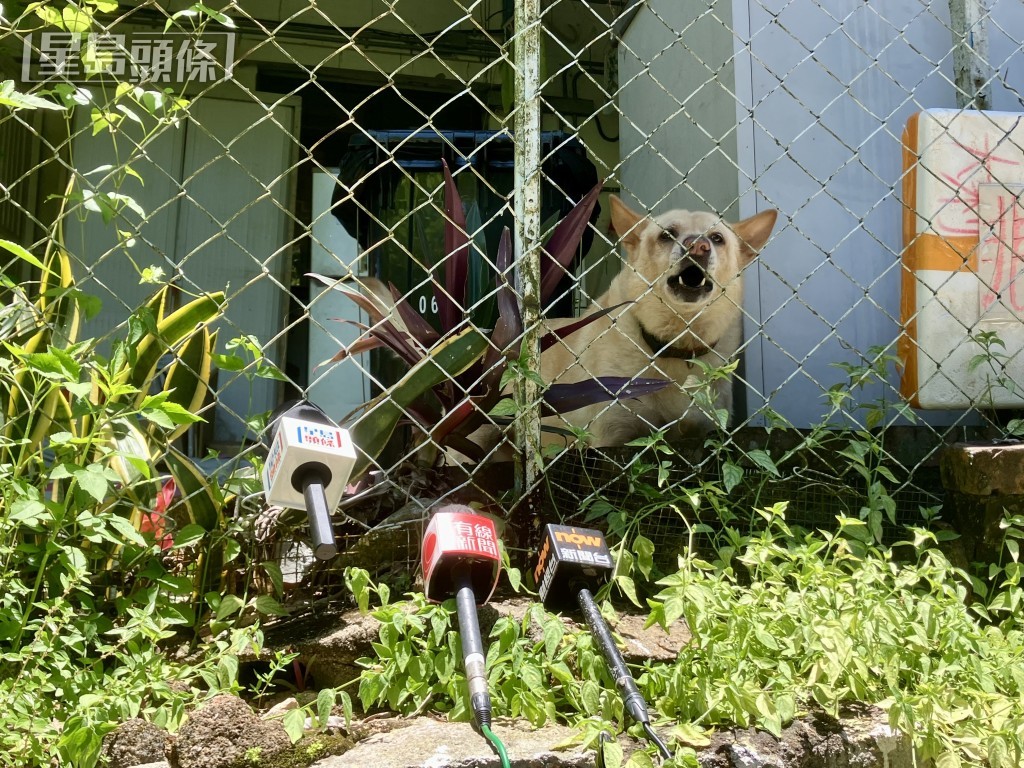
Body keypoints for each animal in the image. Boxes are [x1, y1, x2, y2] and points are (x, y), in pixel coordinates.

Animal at [536, 198, 774, 448]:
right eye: (667, 234)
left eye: (717, 238)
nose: (698, 246)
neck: (678, 342)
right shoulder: (611, 436)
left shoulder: (706, 430)